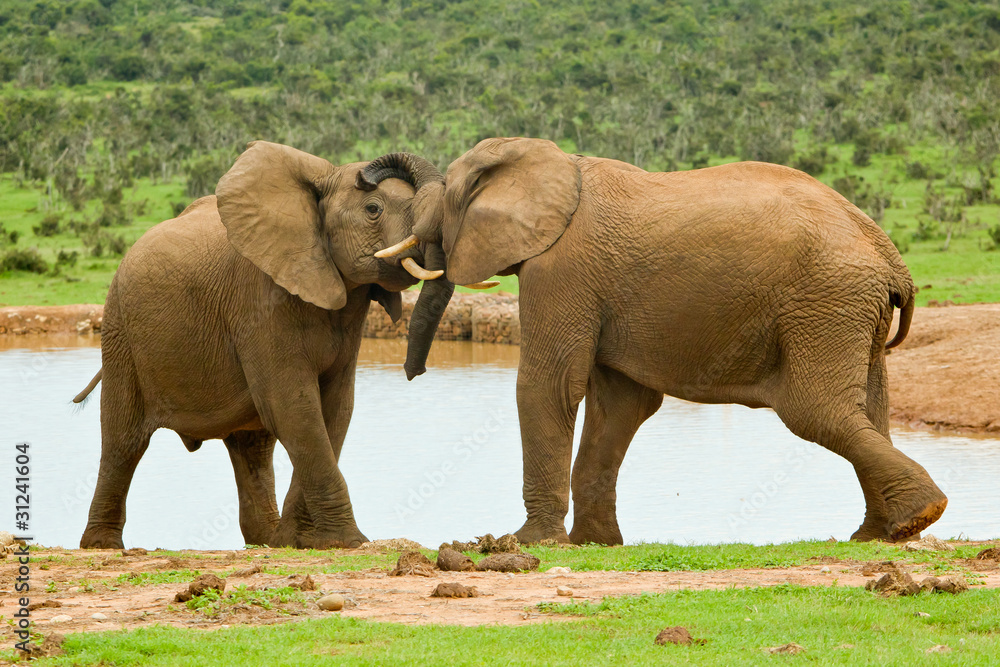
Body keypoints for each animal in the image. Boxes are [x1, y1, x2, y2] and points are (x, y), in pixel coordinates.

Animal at [73, 141, 460, 550]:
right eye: (373, 209)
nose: (413, 372)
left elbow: (334, 409)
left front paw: (296, 541)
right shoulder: (259, 301)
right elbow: (293, 407)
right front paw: (349, 542)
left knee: (252, 448)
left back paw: (265, 540)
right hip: (120, 331)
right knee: (123, 440)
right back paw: (102, 546)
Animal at [385, 136, 948, 546]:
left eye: (448, 201)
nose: (413, 375)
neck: (554, 163)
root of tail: (890, 256)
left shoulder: (561, 269)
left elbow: (550, 386)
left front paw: (528, 542)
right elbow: (621, 404)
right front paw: (595, 545)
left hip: (826, 302)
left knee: (817, 410)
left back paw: (915, 517)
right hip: (850, 310)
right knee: (870, 410)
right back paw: (880, 533)